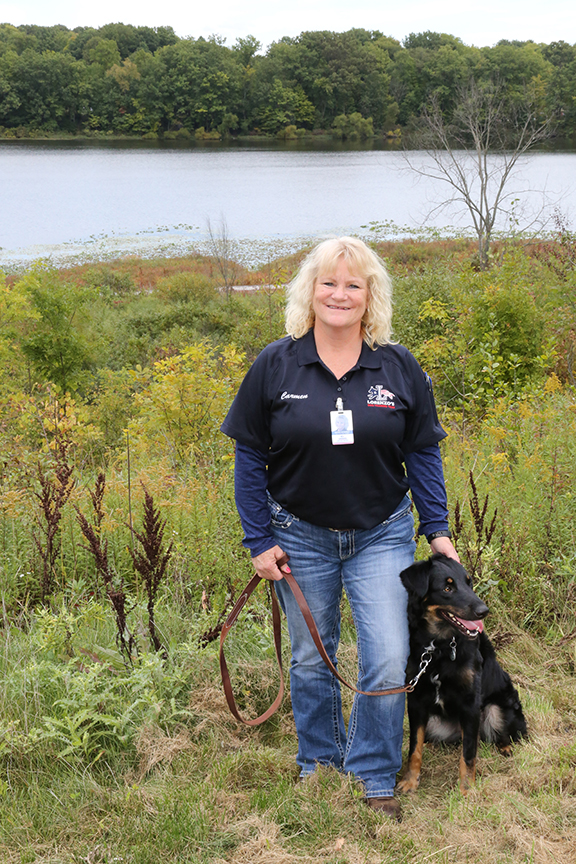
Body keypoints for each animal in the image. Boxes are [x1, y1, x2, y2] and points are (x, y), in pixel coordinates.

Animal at [396, 552, 528, 796]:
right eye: (447, 588)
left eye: (469, 583)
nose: (484, 611)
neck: (439, 647)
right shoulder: (417, 701)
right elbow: (414, 748)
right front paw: (410, 781)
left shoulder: (470, 704)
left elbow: (468, 754)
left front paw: (467, 789)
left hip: (496, 709)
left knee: (506, 735)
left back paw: (506, 748)